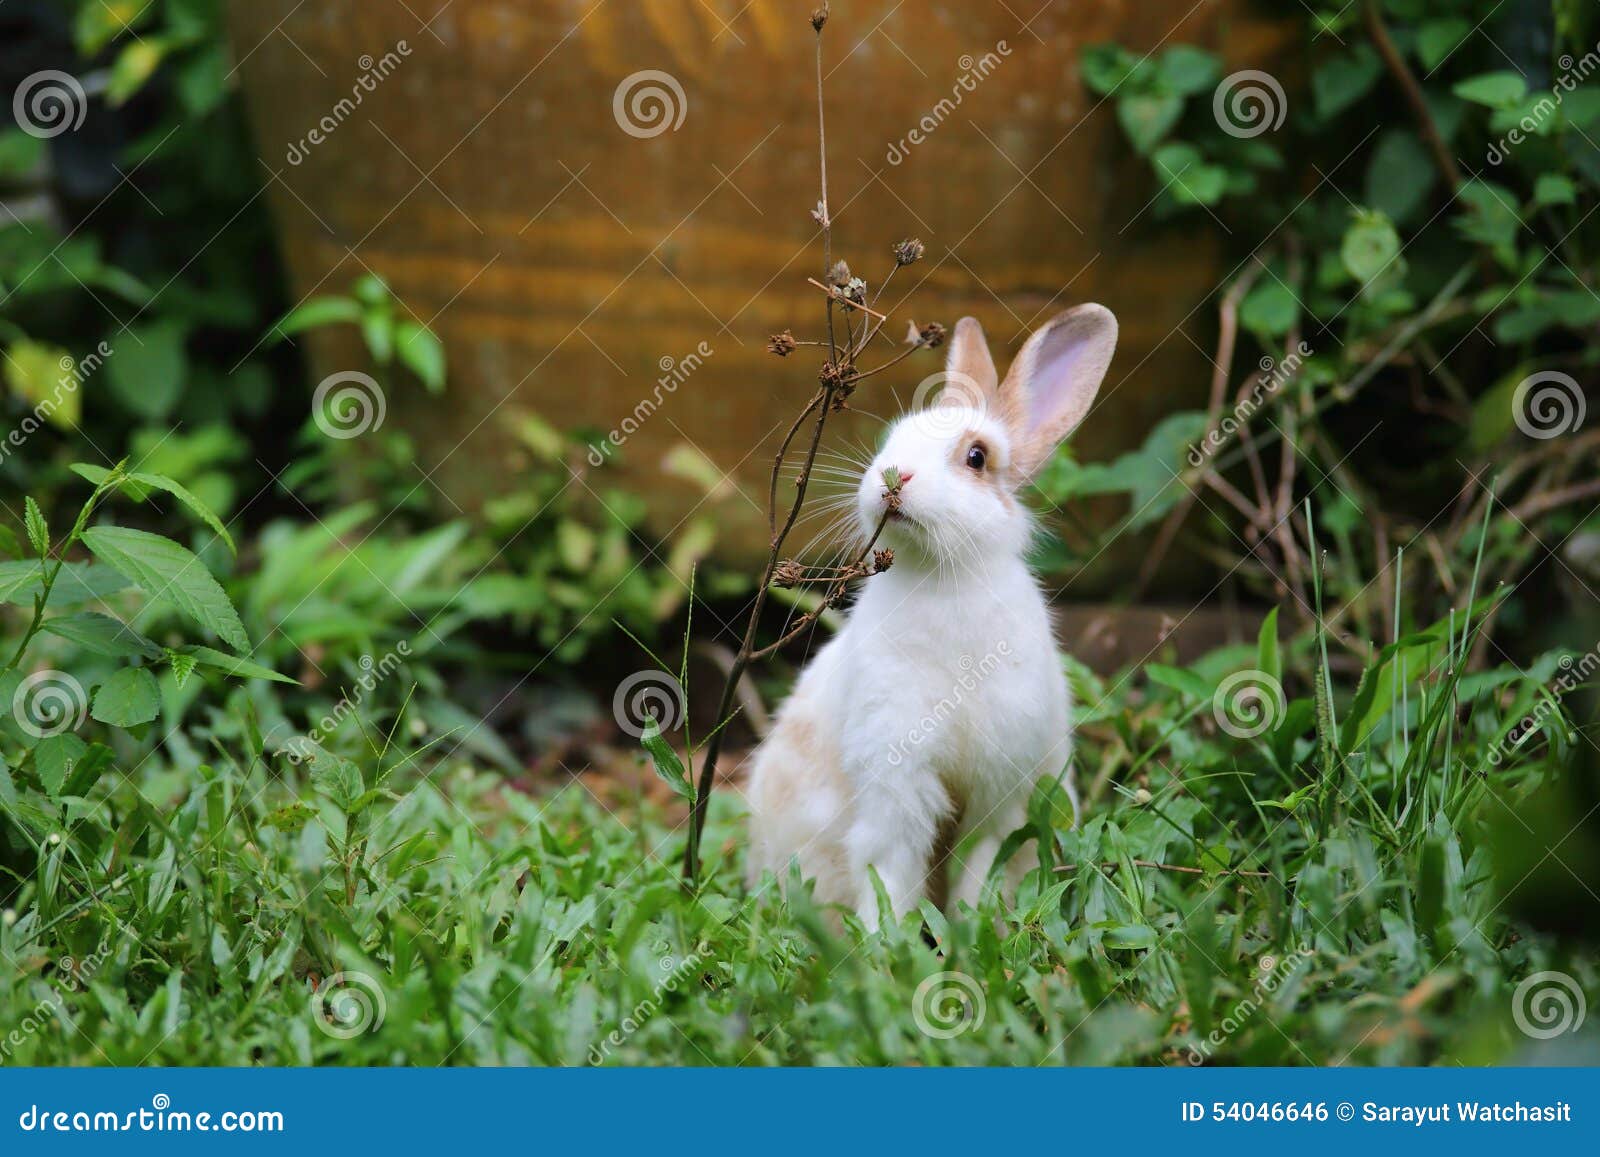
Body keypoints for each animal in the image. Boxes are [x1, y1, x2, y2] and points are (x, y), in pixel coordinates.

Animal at [745, 302, 1113, 928]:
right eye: (895, 436)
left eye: (976, 458)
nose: (892, 477)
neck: (945, 579)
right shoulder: (895, 780)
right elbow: (891, 869)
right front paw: (886, 942)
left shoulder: (998, 792)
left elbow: (979, 866)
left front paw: (972, 930)